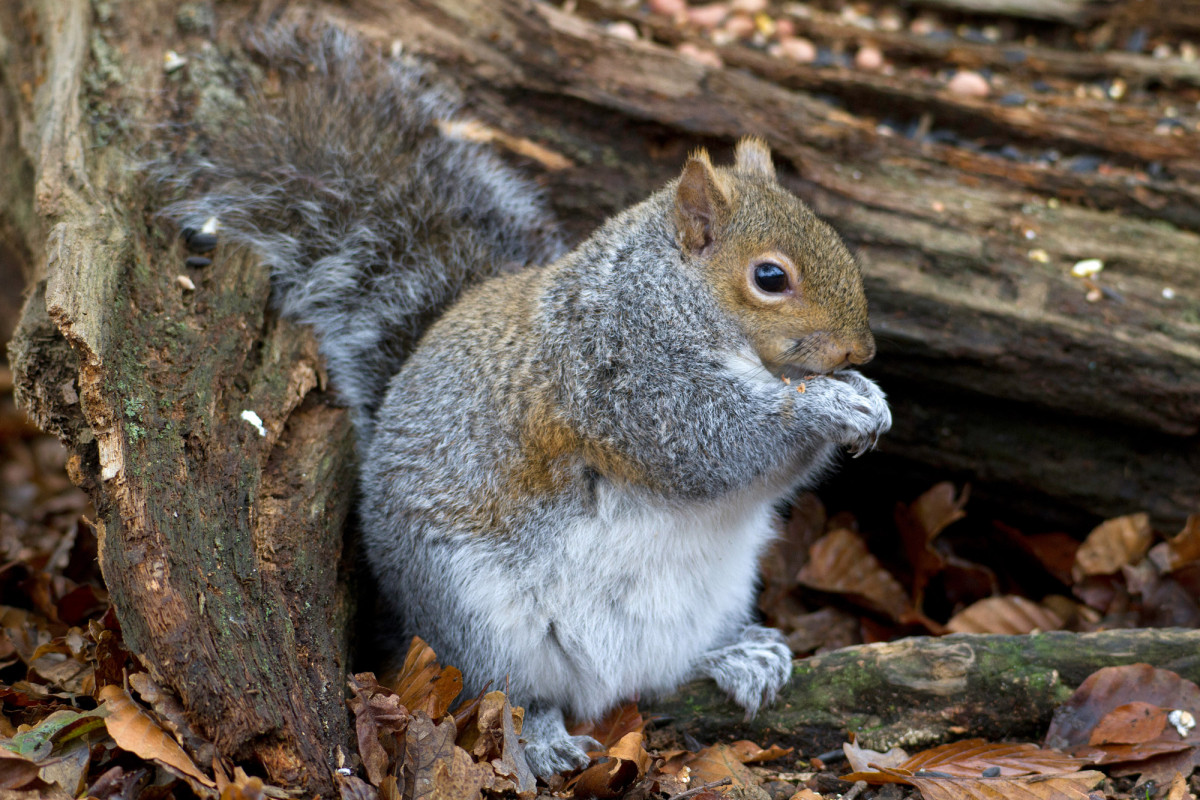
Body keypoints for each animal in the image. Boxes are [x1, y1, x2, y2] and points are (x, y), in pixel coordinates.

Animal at [159, 26, 892, 782]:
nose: (861, 350)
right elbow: (713, 446)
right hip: (481, 622)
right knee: (499, 695)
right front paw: (825, 407)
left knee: (663, 674)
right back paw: (541, 736)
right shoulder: (619, 380)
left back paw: (738, 654)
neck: (666, 298)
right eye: (770, 277)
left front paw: (867, 398)